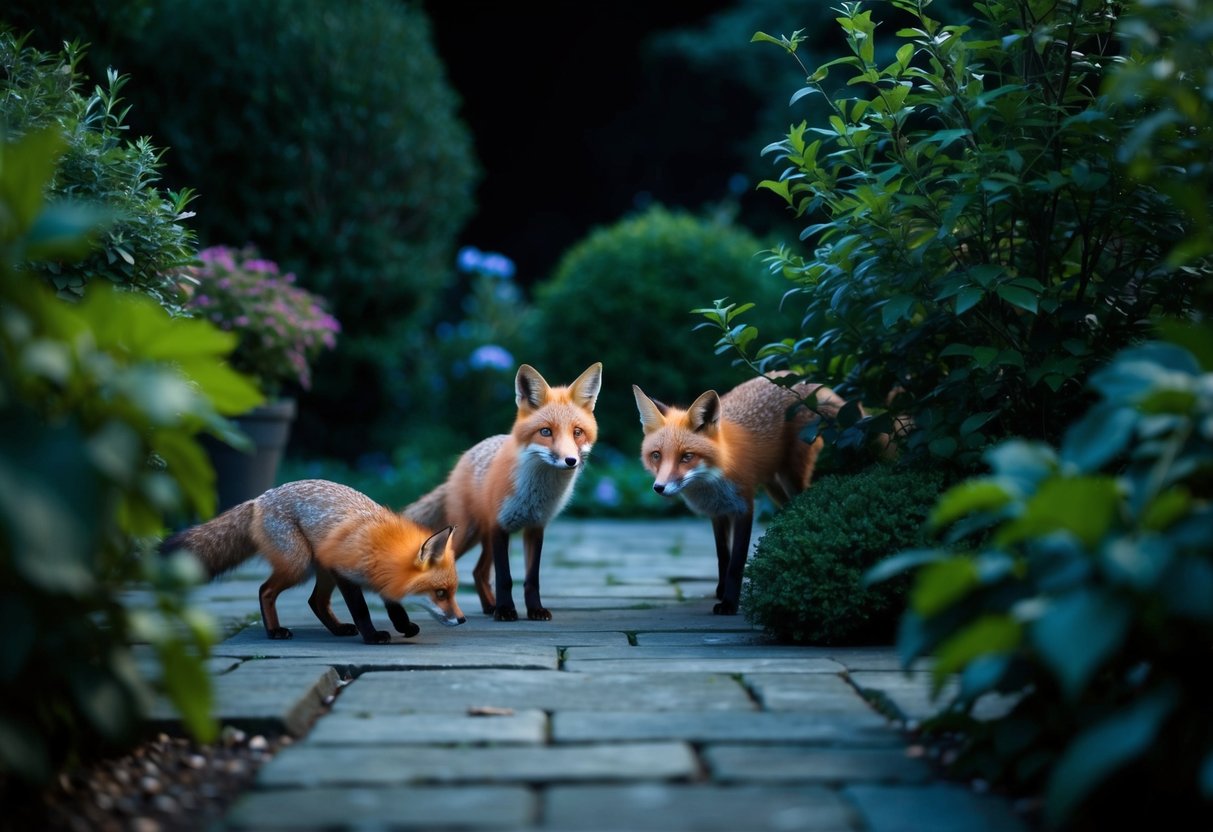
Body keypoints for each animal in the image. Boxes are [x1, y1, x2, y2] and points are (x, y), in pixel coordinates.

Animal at [160, 479, 466, 643]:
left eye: (451, 593)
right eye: (440, 593)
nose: (462, 620)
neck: (378, 545)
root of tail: (260, 498)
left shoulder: (379, 578)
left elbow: (395, 607)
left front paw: (403, 626)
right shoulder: (343, 573)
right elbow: (362, 610)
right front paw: (371, 636)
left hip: (320, 570)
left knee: (315, 601)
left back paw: (338, 629)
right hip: (299, 565)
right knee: (265, 590)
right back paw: (274, 631)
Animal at [403, 362, 602, 621]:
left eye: (577, 432)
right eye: (546, 432)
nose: (570, 461)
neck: (535, 493)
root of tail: (463, 461)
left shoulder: (535, 527)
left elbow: (531, 579)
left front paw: (534, 610)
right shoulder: (500, 526)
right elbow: (504, 578)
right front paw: (506, 610)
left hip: (482, 536)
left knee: (478, 572)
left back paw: (489, 606)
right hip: (466, 534)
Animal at [632, 374, 851, 615]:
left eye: (687, 456)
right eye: (656, 455)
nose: (659, 487)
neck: (714, 479)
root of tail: (803, 382)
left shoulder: (744, 508)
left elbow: (736, 563)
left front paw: (729, 603)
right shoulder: (717, 513)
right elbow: (723, 557)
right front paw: (721, 590)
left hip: (791, 476)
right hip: (773, 485)